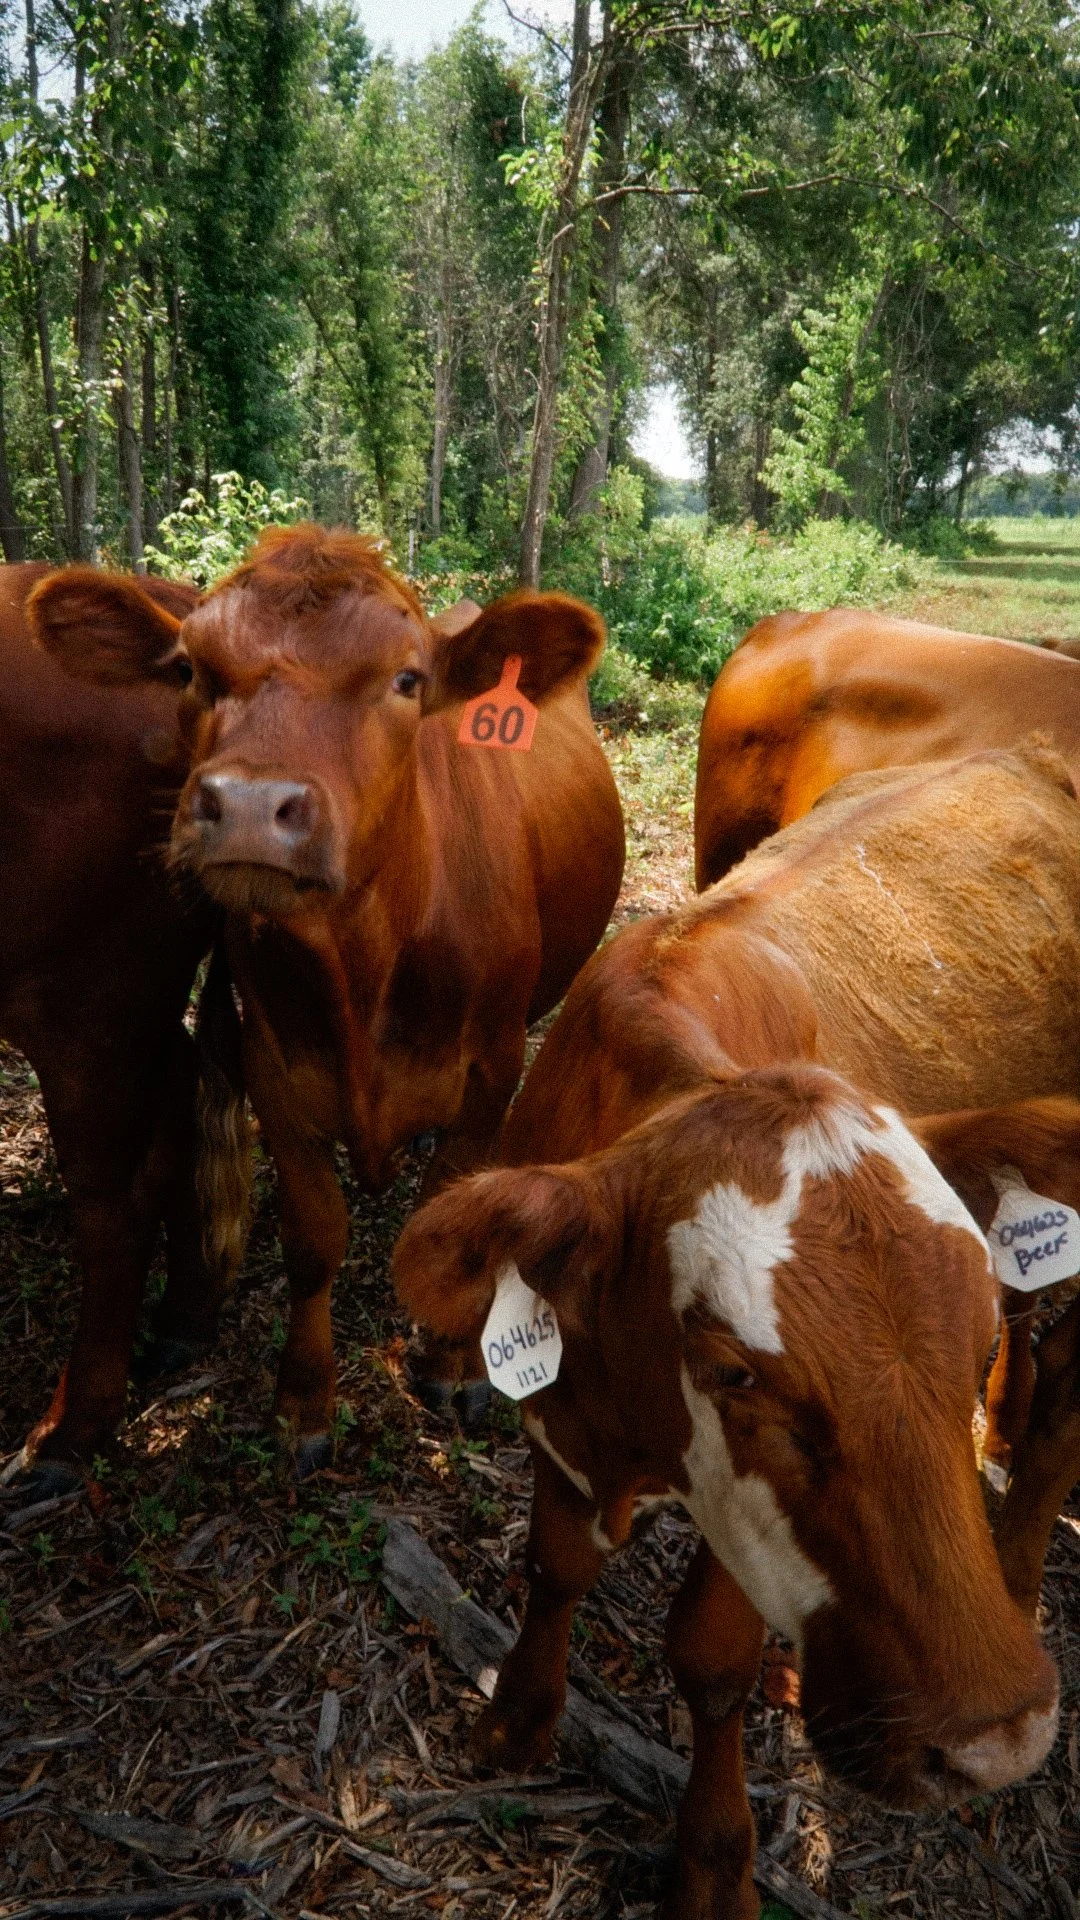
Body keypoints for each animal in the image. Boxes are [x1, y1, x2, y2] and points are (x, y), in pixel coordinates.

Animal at [29, 526, 626, 1471]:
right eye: (191, 668)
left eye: (408, 680)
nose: (245, 805)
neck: (364, 966)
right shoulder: (274, 1070)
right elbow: (314, 1239)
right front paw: (304, 1401)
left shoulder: (491, 1068)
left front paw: (452, 1366)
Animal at [394, 741, 1079, 1920]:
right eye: (729, 1370)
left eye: (968, 1336)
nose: (998, 1743)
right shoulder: (556, 1416)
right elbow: (554, 1568)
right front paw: (517, 1717)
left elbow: (709, 1662)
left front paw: (715, 1859)